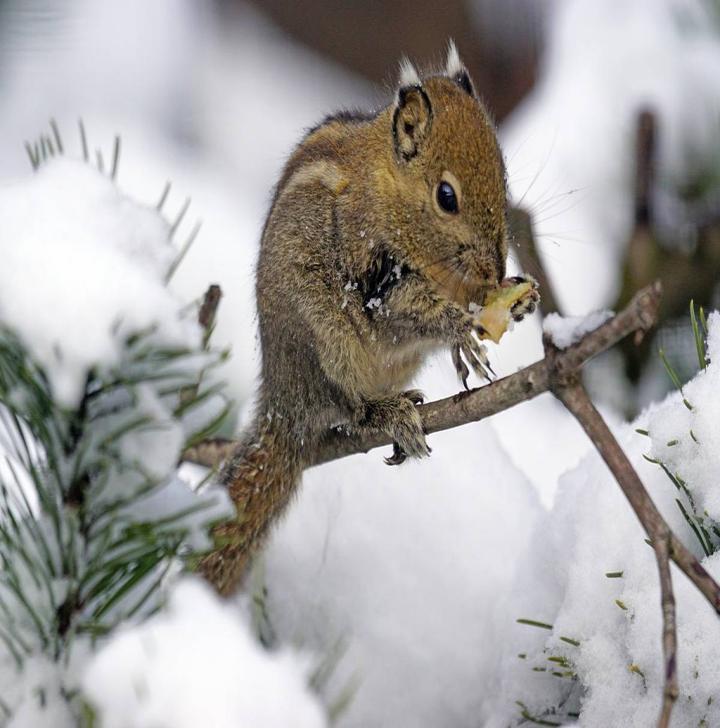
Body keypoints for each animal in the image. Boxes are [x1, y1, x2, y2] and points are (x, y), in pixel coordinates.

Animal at [200, 42, 536, 596]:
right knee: (348, 407)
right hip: (326, 344)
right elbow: (407, 315)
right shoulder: (371, 275)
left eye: (504, 174)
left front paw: (516, 299)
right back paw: (387, 413)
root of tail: (282, 406)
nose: (495, 268)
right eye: (447, 196)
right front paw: (460, 327)